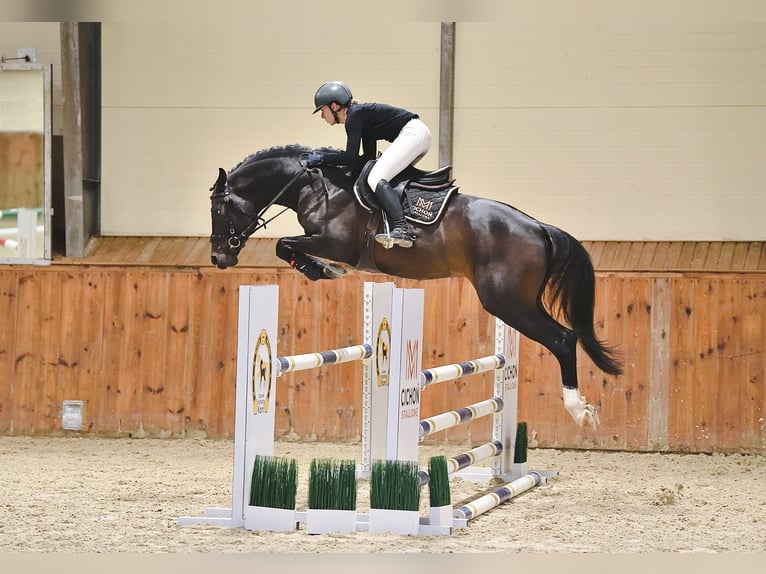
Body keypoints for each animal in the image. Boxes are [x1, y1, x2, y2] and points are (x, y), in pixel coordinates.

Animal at [210, 146, 624, 430]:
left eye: (218, 209)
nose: (218, 257)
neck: (313, 185)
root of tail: (539, 227)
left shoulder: (334, 242)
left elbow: (284, 245)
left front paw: (323, 269)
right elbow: (287, 246)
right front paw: (326, 270)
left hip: (506, 302)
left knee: (563, 339)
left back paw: (580, 411)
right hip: (521, 300)